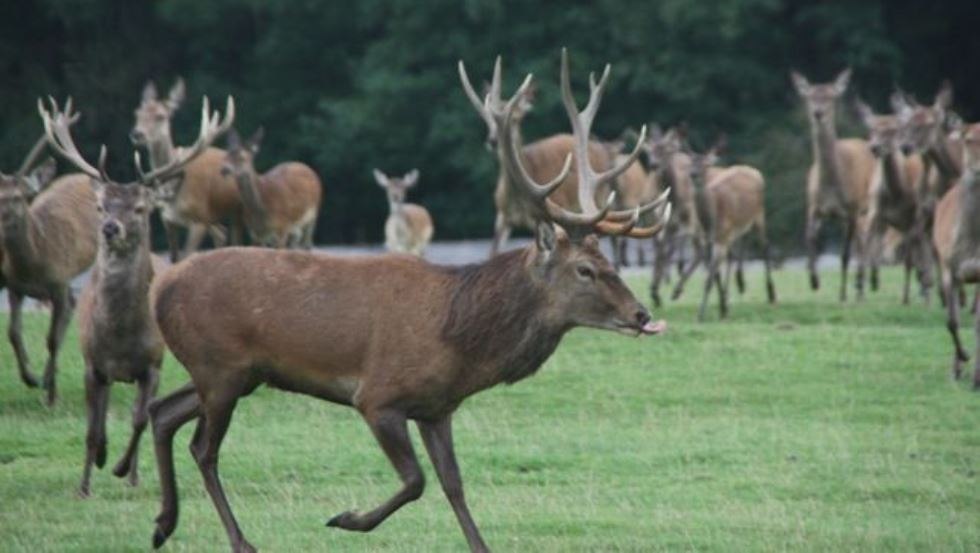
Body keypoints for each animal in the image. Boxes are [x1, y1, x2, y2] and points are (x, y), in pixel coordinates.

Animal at [40, 95, 233, 495]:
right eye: (101, 206)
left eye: (141, 208)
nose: (111, 228)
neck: (119, 337)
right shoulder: (92, 364)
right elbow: (91, 428)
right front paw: (86, 482)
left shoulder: (153, 365)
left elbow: (141, 419)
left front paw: (123, 470)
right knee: (100, 416)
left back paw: (128, 472)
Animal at [131, 78, 243, 260]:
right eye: (137, 113)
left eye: (161, 116)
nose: (137, 134)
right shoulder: (168, 220)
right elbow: (174, 258)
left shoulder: (199, 219)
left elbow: (187, 255)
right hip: (213, 217)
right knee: (221, 233)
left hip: (238, 211)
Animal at [146, 49, 670, 553]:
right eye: (584, 270)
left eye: (607, 262)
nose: (641, 314)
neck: (459, 340)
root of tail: (159, 287)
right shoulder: (378, 396)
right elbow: (416, 480)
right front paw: (346, 519)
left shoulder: (437, 407)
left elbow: (454, 484)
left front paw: (479, 544)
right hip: (220, 367)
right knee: (203, 448)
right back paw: (236, 539)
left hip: (233, 373)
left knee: (163, 411)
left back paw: (163, 524)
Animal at [791, 69, 877, 301]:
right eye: (809, 96)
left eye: (831, 97)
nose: (818, 113)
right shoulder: (813, 206)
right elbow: (809, 237)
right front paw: (814, 280)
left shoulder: (852, 209)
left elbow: (845, 254)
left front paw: (844, 294)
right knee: (862, 240)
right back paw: (860, 285)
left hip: (868, 205)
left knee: (864, 241)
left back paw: (863, 285)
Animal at [855, 99, 932, 304]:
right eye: (872, 129)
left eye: (892, 130)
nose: (874, 147)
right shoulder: (875, 211)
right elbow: (866, 242)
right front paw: (860, 287)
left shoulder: (913, 216)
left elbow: (910, 256)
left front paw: (908, 296)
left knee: (923, 247)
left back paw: (925, 286)